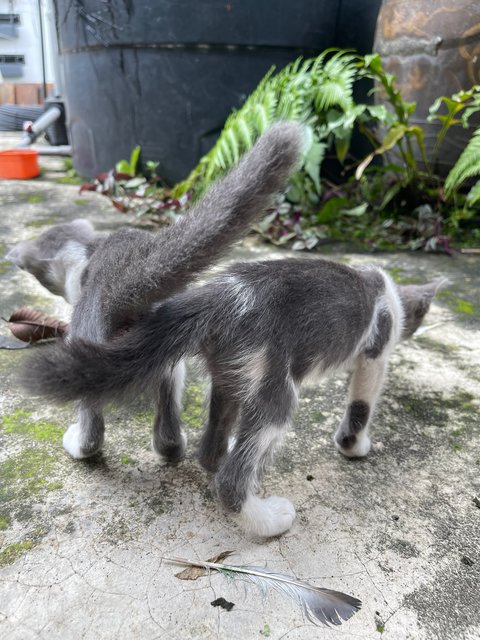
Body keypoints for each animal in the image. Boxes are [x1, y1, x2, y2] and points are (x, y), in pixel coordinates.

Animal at [6, 121, 300, 460]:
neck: (89, 251)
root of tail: (126, 274)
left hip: (87, 336)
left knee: (92, 423)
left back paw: (79, 446)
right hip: (165, 346)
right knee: (168, 399)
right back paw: (171, 446)